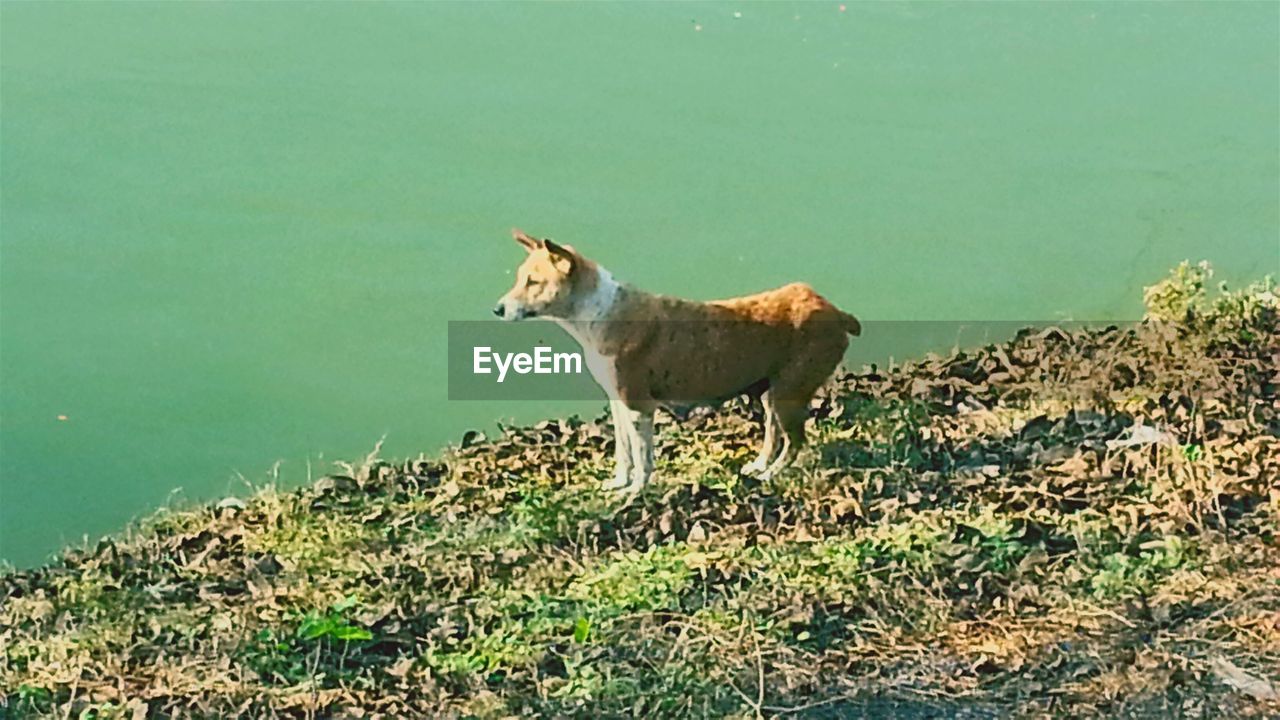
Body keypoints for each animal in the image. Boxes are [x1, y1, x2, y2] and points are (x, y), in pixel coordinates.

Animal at [491, 229, 860, 491]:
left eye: (533, 282)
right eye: (520, 278)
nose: (497, 309)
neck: (598, 313)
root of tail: (837, 312)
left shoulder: (639, 407)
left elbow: (643, 457)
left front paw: (636, 491)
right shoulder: (617, 403)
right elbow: (623, 451)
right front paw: (619, 483)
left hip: (788, 395)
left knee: (795, 442)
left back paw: (771, 476)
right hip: (773, 394)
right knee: (774, 436)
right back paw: (759, 467)